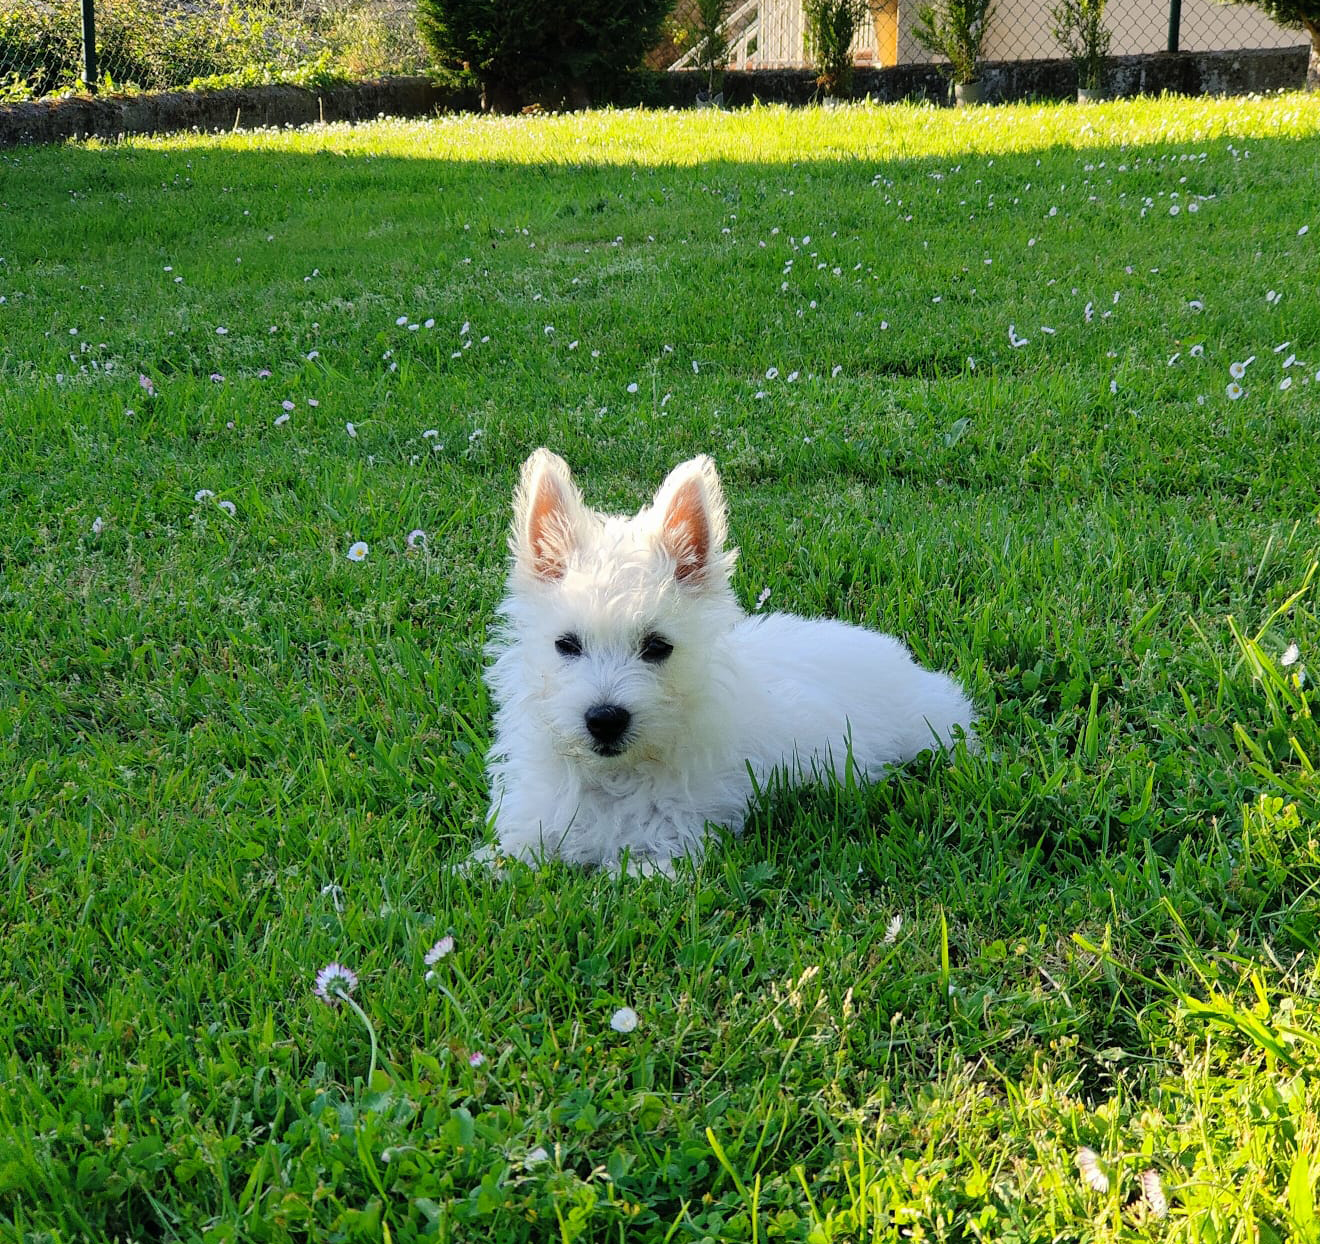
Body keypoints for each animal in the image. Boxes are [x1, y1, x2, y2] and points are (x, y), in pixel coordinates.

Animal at [480, 451, 976, 876]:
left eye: (657, 646)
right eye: (566, 645)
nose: (605, 720)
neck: (617, 776)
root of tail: (899, 657)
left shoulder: (682, 841)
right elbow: (507, 859)